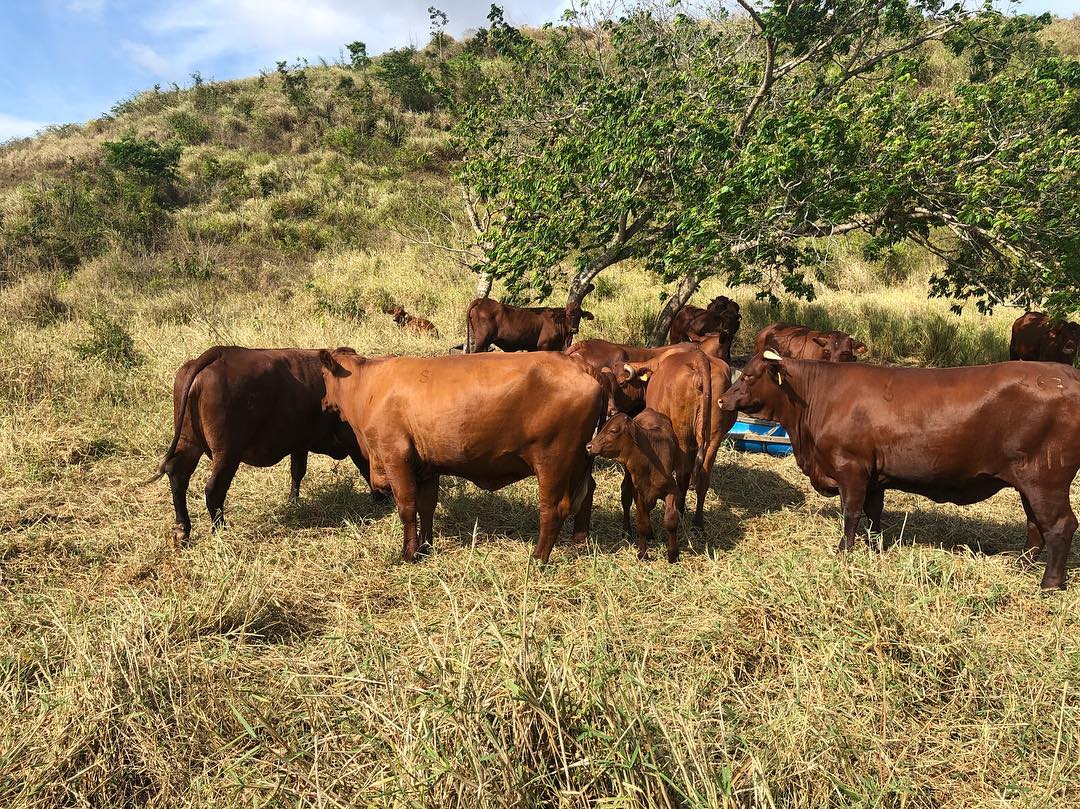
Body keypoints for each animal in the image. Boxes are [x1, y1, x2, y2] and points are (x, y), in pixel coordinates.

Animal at [143, 345, 380, 542]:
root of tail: (219, 353)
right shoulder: (353, 440)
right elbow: (366, 466)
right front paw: (380, 498)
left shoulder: (299, 443)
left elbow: (297, 472)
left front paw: (293, 502)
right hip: (227, 454)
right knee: (213, 490)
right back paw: (220, 529)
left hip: (190, 443)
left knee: (177, 474)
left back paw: (182, 529)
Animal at [319, 347, 609, 561]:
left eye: (323, 375)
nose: (323, 402)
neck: (369, 386)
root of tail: (580, 365)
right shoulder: (427, 467)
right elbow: (427, 506)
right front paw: (425, 546)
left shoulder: (395, 457)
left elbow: (407, 507)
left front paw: (409, 553)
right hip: (580, 462)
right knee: (586, 493)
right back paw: (579, 542)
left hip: (553, 461)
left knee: (553, 508)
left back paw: (538, 557)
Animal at [587, 410, 678, 561]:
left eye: (613, 430)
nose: (589, 446)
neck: (650, 461)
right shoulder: (638, 493)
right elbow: (642, 524)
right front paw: (642, 554)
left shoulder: (671, 489)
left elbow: (670, 520)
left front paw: (673, 554)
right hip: (629, 479)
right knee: (625, 498)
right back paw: (627, 531)